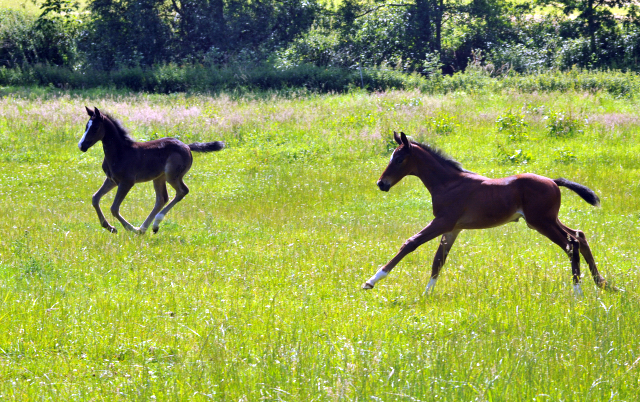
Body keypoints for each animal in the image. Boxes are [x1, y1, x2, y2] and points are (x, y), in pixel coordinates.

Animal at [78, 107, 225, 234]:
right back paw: (144, 228)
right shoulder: (112, 180)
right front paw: (110, 227)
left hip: (172, 176)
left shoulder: (127, 182)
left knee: (182, 191)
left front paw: (130, 228)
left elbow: (114, 208)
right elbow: (95, 198)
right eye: (86, 126)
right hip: (159, 177)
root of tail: (187, 147)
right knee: (162, 198)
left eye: (95, 128)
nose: (81, 145)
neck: (120, 152)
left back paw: (151, 225)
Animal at [362, 132, 612, 296]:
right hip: (548, 219)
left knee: (571, 243)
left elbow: (411, 243)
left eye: (399, 159)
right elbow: (438, 260)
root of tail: (553, 181)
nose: (381, 184)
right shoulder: (453, 228)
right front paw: (426, 295)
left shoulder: (443, 222)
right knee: (580, 235)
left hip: (541, 222)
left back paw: (578, 291)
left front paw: (372, 281)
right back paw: (603, 284)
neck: (448, 183)